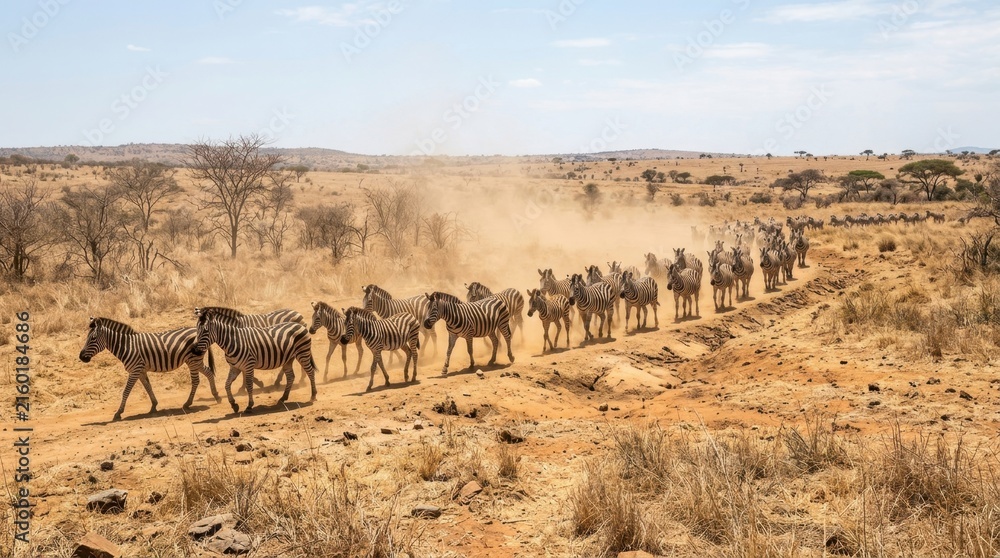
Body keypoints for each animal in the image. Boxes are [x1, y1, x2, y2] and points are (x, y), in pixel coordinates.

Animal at [79, 317, 220, 422]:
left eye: (93, 338)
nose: (81, 357)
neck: (127, 346)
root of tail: (197, 330)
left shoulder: (135, 370)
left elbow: (126, 392)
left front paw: (118, 413)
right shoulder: (141, 370)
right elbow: (148, 387)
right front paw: (154, 406)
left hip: (192, 360)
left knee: (196, 380)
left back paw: (188, 403)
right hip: (194, 361)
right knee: (209, 372)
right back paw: (216, 396)